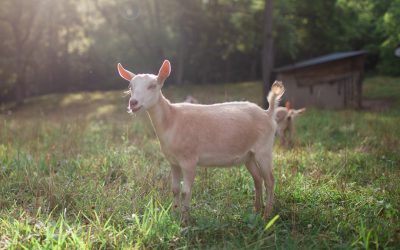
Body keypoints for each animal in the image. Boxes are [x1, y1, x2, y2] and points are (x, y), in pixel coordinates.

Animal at [117, 60, 282, 221]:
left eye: (152, 86)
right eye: (130, 86)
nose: (133, 103)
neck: (171, 120)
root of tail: (268, 113)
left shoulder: (189, 160)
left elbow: (185, 191)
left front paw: (184, 221)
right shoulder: (173, 162)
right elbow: (175, 189)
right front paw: (174, 214)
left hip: (264, 149)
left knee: (270, 180)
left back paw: (267, 215)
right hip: (249, 155)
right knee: (257, 179)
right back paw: (256, 210)